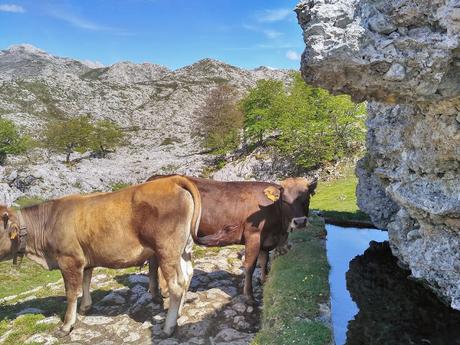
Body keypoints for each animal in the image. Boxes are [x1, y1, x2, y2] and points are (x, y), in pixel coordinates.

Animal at [0, 176, 201, 338]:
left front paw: (66, 326)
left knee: (176, 286)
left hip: (166, 251)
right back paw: (178, 314)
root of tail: (173, 180)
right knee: (186, 278)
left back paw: (168, 327)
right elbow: (86, 282)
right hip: (183, 251)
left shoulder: (69, 260)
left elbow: (71, 293)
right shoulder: (85, 259)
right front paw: (85, 307)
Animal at [147, 173, 316, 300]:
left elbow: (264, 261)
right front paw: (249, 295)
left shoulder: (265, 240)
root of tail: (156, 178)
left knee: (154, 261)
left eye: (306, 198)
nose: (300, 221)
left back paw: (157, 291)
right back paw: (164, 292)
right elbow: (250, 266)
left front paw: (264, 280)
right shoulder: (253, 236)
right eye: (285, 200)